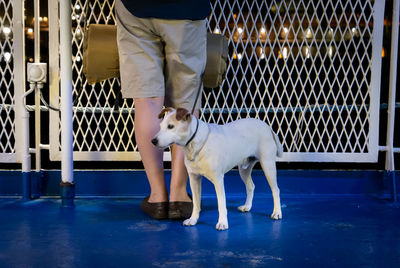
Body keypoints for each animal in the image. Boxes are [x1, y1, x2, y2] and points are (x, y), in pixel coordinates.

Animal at [152, 107, 282, 230]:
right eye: (160, 126)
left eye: (170, 126)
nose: (153, 141)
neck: (195, 144)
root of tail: (267, 127)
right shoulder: (194, 179)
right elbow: (196, 202)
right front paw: (193, 219)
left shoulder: (218, 180)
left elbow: (221, 203)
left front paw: (222, 223)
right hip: (244, 170)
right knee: (250, 186)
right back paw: (247, 206)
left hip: (268, 165)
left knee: (275, 190)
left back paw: (277, 212)